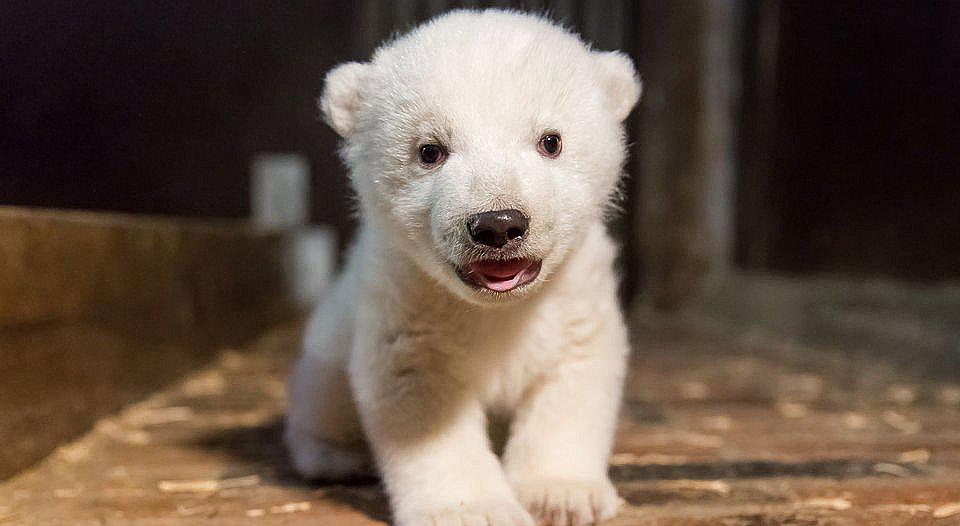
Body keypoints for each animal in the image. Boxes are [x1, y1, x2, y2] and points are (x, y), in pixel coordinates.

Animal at [286, 9, 641, 526]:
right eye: (429, 150)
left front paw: (561, 495)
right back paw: (336, 458)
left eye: (551, 141)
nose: (498, 223)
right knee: (319, 402)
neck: (498, 307)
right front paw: (472, 508)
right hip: (326, 353)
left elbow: (574, 377)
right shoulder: (407, 300)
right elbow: (420, 397)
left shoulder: (574, 295)